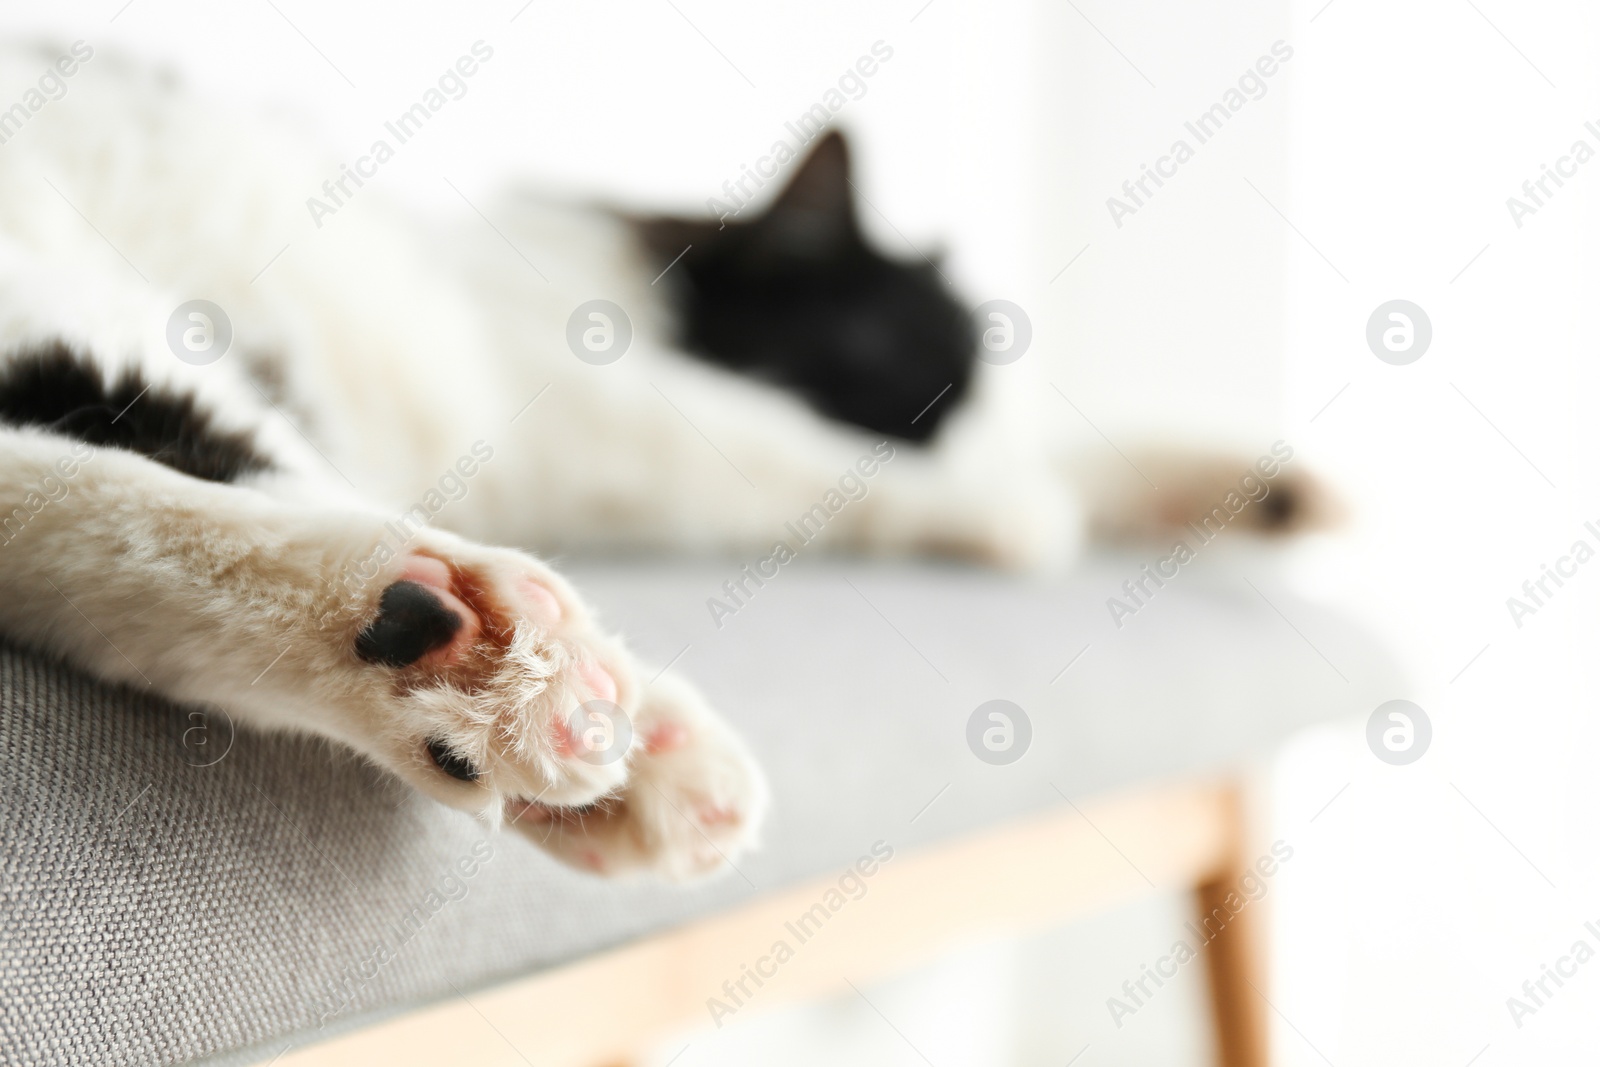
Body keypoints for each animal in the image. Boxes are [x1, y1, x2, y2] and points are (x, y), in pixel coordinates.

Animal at [0, 45, 1318, 883]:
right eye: (917, 386)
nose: (980, 446)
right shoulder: (583, 404)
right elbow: (785, 457)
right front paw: (1010, 509)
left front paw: (1254, 488)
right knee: (130, 505)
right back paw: (494, 666)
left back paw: (584, 729)